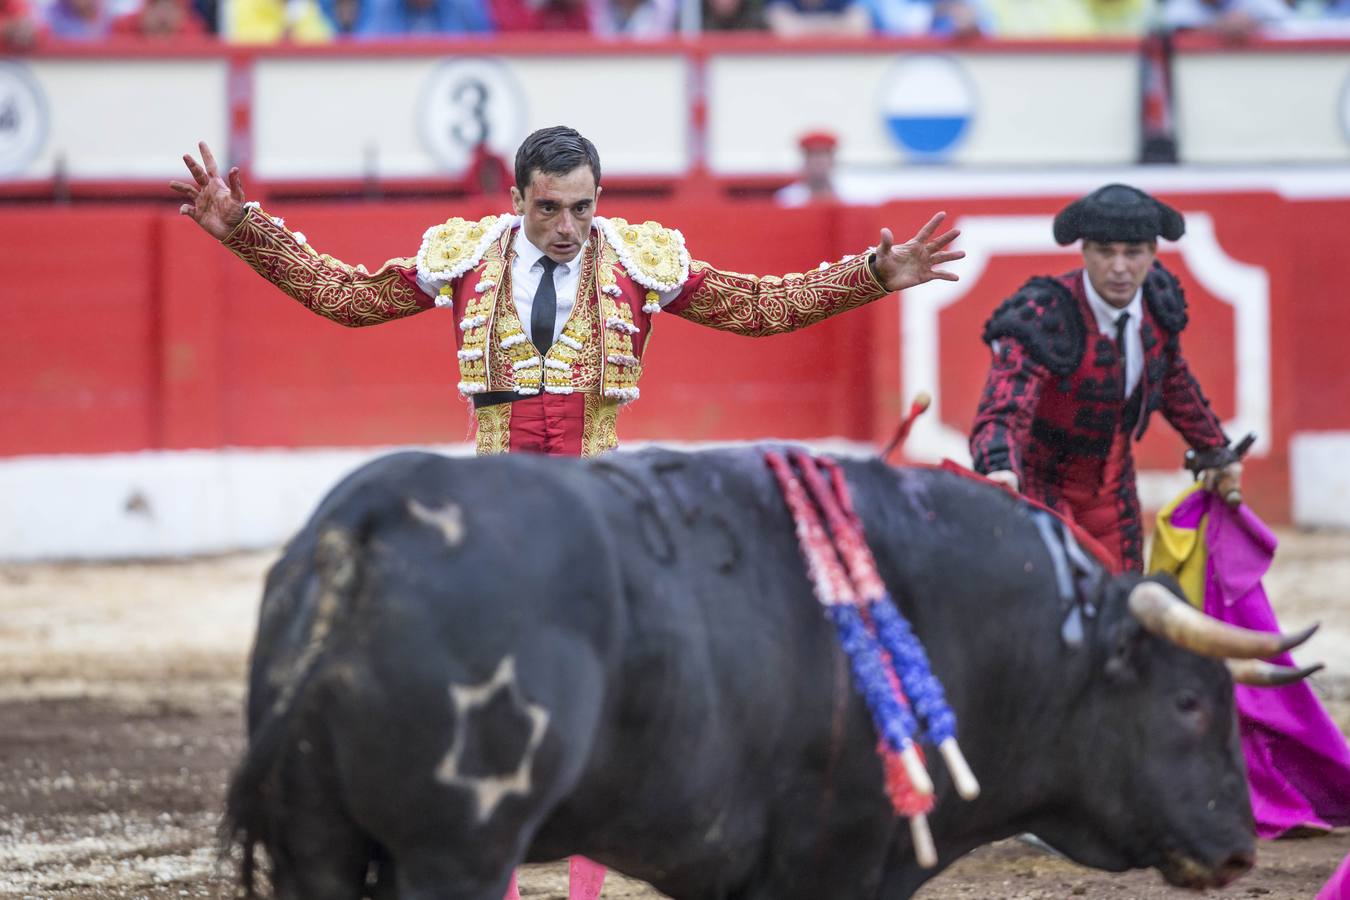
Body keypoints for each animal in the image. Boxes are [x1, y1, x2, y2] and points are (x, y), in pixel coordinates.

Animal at [224, 447, 1263, 895]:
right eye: (1190, 703)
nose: (1241, 848)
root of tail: (364, 526)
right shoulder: (830, 863)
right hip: (460, 850)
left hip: (317, 848)